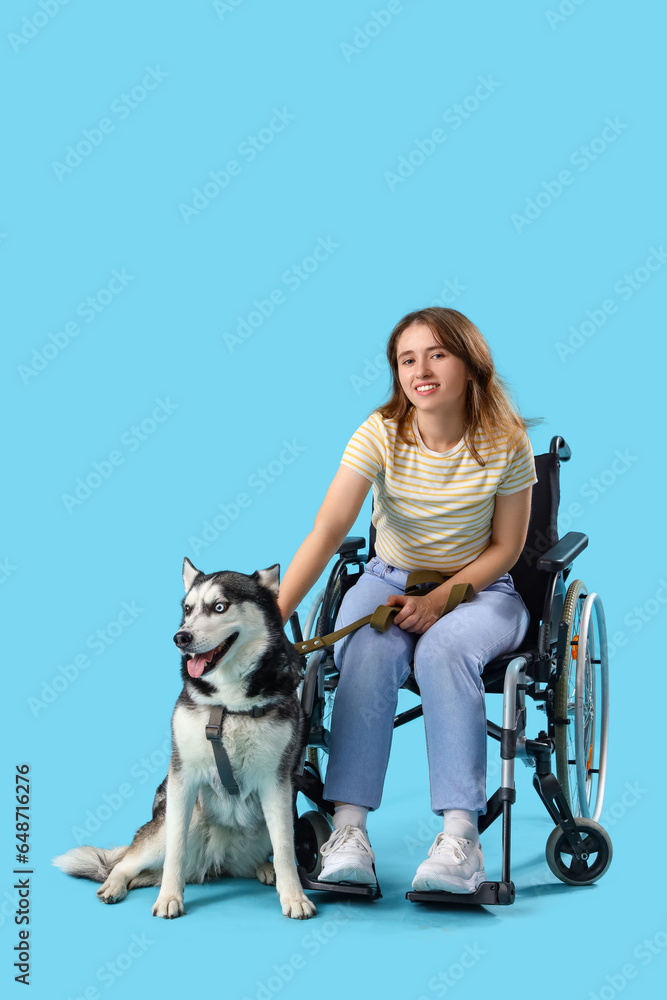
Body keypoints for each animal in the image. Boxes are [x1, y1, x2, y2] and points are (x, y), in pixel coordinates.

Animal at [53, 556, 318, 920]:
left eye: (220, 607)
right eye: (188, 609)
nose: (181, 637)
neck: (228, 704)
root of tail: (216, 863)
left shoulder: (276, 783)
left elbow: (285, 848)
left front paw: (293, 895)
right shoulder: (183, 778)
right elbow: (174, 851)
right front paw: (169, 897)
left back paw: (264, 869)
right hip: (175, 821)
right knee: (127, 864)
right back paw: (115, 884)